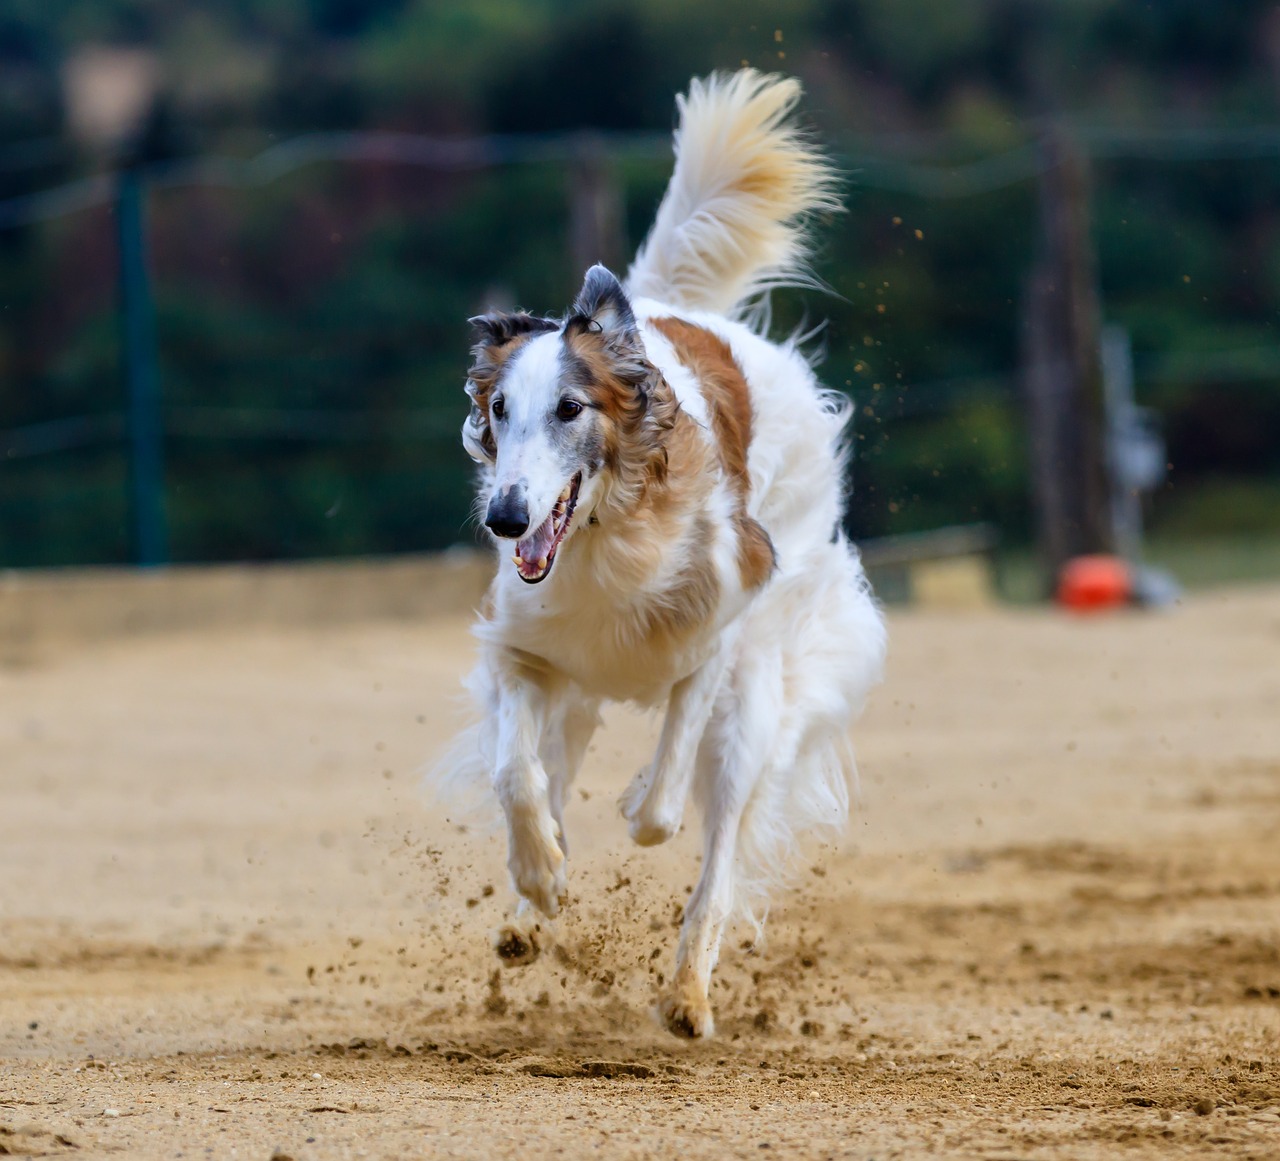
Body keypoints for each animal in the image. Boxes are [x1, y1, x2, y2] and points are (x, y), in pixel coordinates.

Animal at [435, 68, 885, 1039]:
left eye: (571, 408)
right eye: (498, 410)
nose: (505, 517)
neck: (611, 540)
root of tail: (687, 313)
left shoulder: (711, 648)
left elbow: (663, 804)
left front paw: (638, 798)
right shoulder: (526, 653)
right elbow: (516, 774)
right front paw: (539, 877)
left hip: (759, 698)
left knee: (715, 857)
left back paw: (687, 995)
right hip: (576, 697)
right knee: (552, 770)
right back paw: (532, 917)